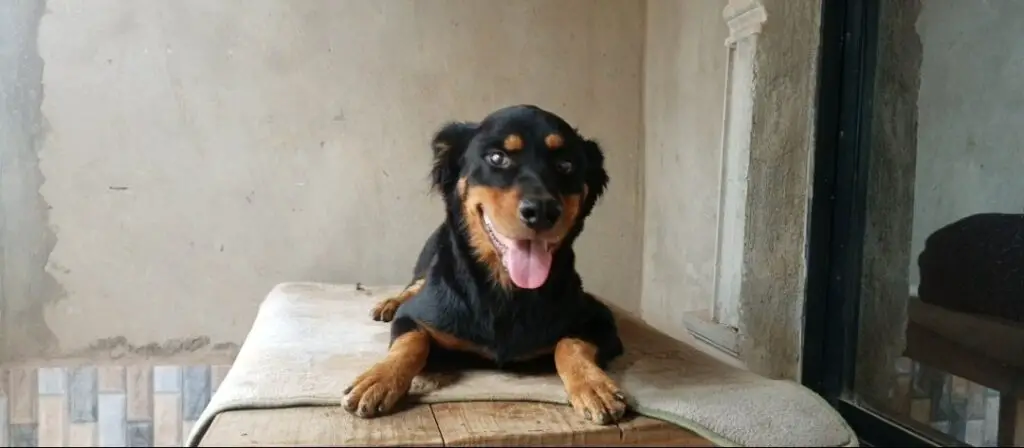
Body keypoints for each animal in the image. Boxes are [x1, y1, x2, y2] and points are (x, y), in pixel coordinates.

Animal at [342, 103, 622, 425]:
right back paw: (387, 303)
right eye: (497, 158)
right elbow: (411, 342)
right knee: (414, 285)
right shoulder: (413, 316)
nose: (542, 210)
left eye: (566, 165)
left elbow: (570, 343)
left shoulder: (601, 318)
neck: (505, 289)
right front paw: (378, 378)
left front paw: (592, 384)